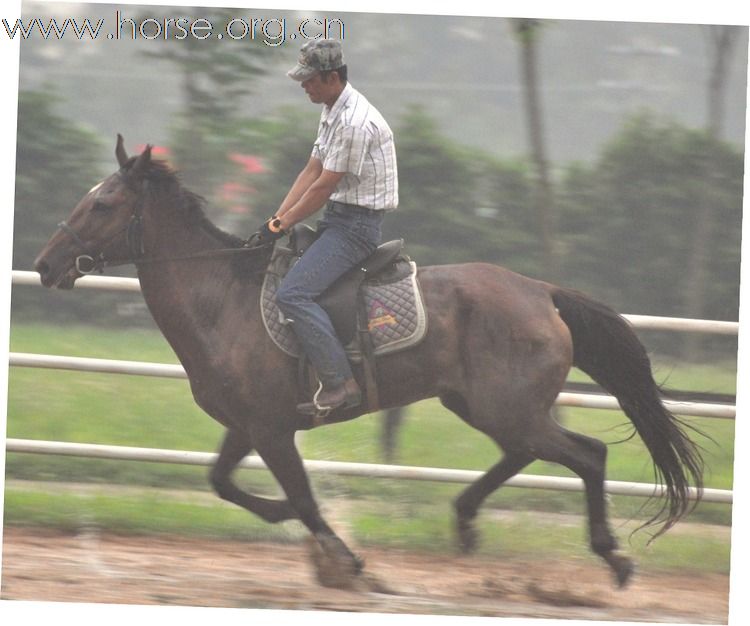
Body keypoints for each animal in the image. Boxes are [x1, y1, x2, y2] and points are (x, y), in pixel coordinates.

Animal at [33, 135, 704, 584]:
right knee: (526, 455)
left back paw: (612, 556)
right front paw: (296, 525)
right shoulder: (248, 427)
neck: (222, 298)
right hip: (485, 406)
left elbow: (301, 498)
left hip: (506, 407)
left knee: (587, 456)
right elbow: (223, 483)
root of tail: (543, 292)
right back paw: (465, 520)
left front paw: (346, 560)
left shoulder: (272, 430)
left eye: (102, 204)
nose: (44, 264)